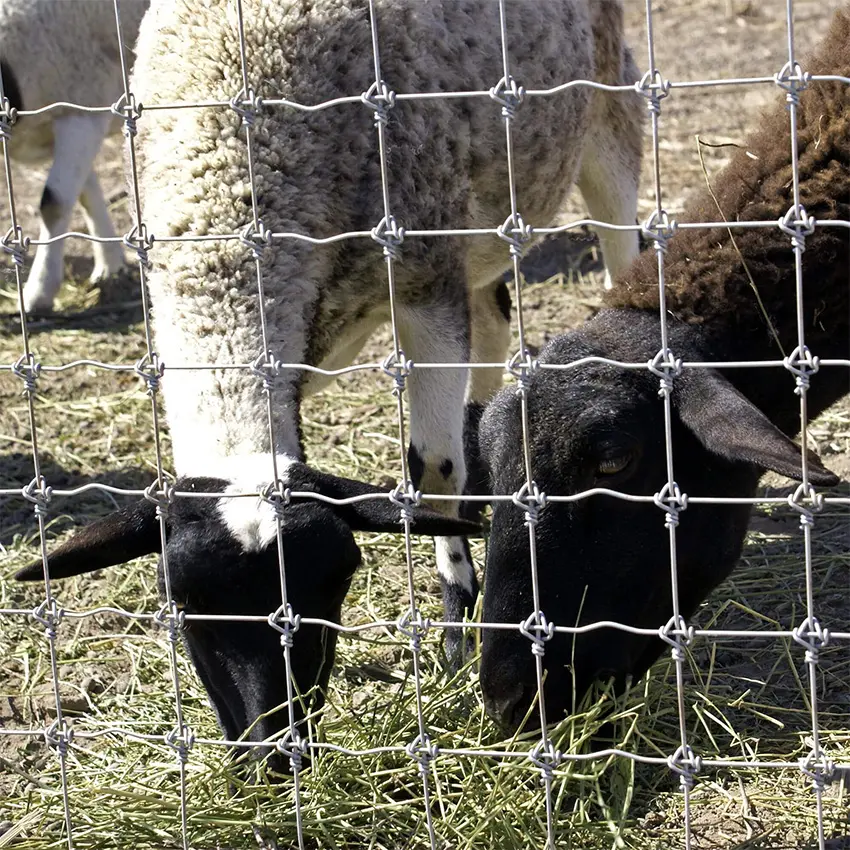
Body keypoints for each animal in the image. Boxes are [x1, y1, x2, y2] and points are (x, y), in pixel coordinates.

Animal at [16, 0, 640, 764]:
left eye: (333, 585)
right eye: (183, 604)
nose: (275, 751)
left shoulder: (423, 279)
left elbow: (433, 473)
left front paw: (456, 639)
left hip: (606, 117)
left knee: (625, 252)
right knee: (492, 327)